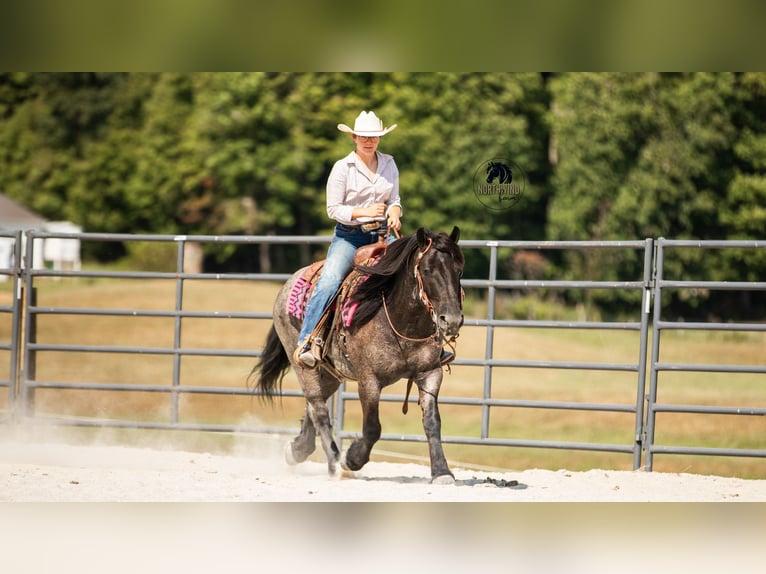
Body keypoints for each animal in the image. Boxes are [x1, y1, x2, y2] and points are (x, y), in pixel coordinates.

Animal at [250, 226, 464, 484]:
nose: (452, 320)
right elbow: (372, 428)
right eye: (427, 270)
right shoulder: (369, 380)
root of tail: (287, 284)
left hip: (329, 374)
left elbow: (432, 422)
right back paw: (334, 463)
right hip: (303, 366)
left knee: (313, 407)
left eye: (459, 270)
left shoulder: (430, 372)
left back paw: (297, 450)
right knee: (319, 410)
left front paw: (442, 472)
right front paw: (351, 458)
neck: (400, 322)